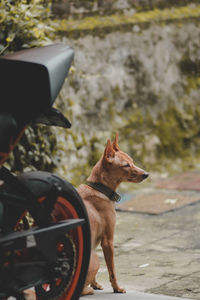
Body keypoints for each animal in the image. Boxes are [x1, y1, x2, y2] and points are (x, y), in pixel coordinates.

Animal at [78, 134, 148, 296]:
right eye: (126, 165)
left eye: (132, 161)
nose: (146, 174)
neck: (99, 189)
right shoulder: (108, 241)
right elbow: (112, 271)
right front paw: (117, 288)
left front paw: (95, 283)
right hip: (95, 259)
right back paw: (88, 290)